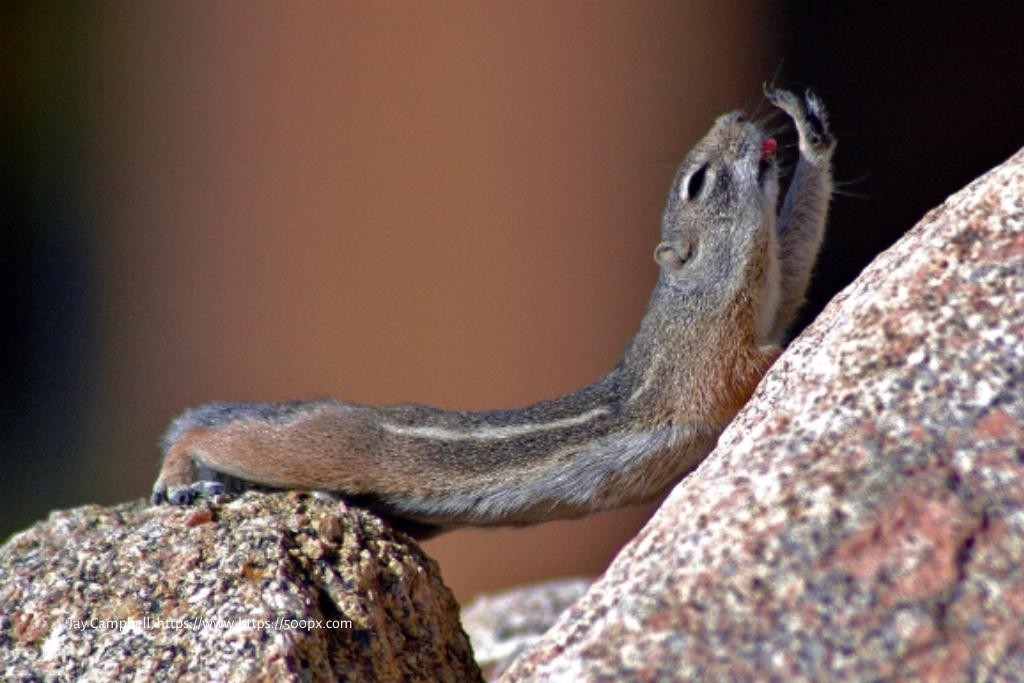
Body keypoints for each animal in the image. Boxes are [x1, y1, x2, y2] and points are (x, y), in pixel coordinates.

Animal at [148, 88, 831, 540]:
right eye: (698, 182)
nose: (736, 116)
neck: (704, 294)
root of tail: (324, 408)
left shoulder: (774, 292)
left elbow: (798, 266)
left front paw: (813, 134)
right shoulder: (711, 361)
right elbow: (753, 368)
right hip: (321, 448)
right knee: (215, 437)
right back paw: (181, 475)